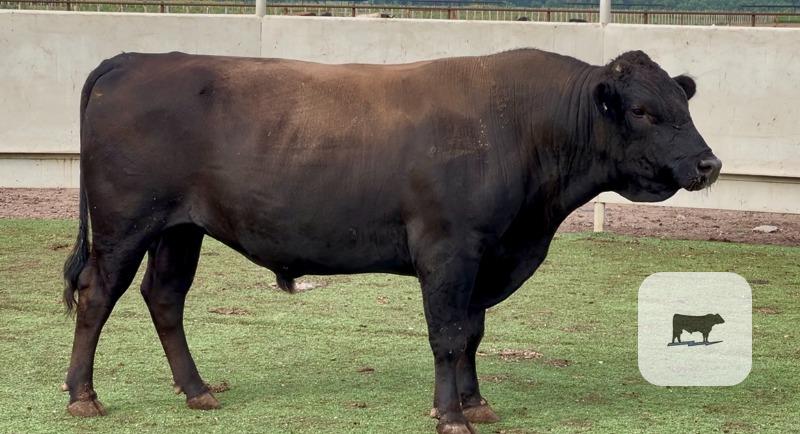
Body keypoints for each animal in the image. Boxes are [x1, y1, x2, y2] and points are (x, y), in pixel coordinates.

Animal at [62, 49, 721, 433]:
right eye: (642, 111)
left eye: (682, 103)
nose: (708, 164)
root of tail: (135, 58)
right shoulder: (448, 250)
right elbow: (448, 334)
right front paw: (451, 415)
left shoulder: (487, 257)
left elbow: (472, 332)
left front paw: (474, 403)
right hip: (125, 225)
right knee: (97, 296)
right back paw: (83, 396)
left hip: (179, 230)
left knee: (164, 299)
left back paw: (197, 391)